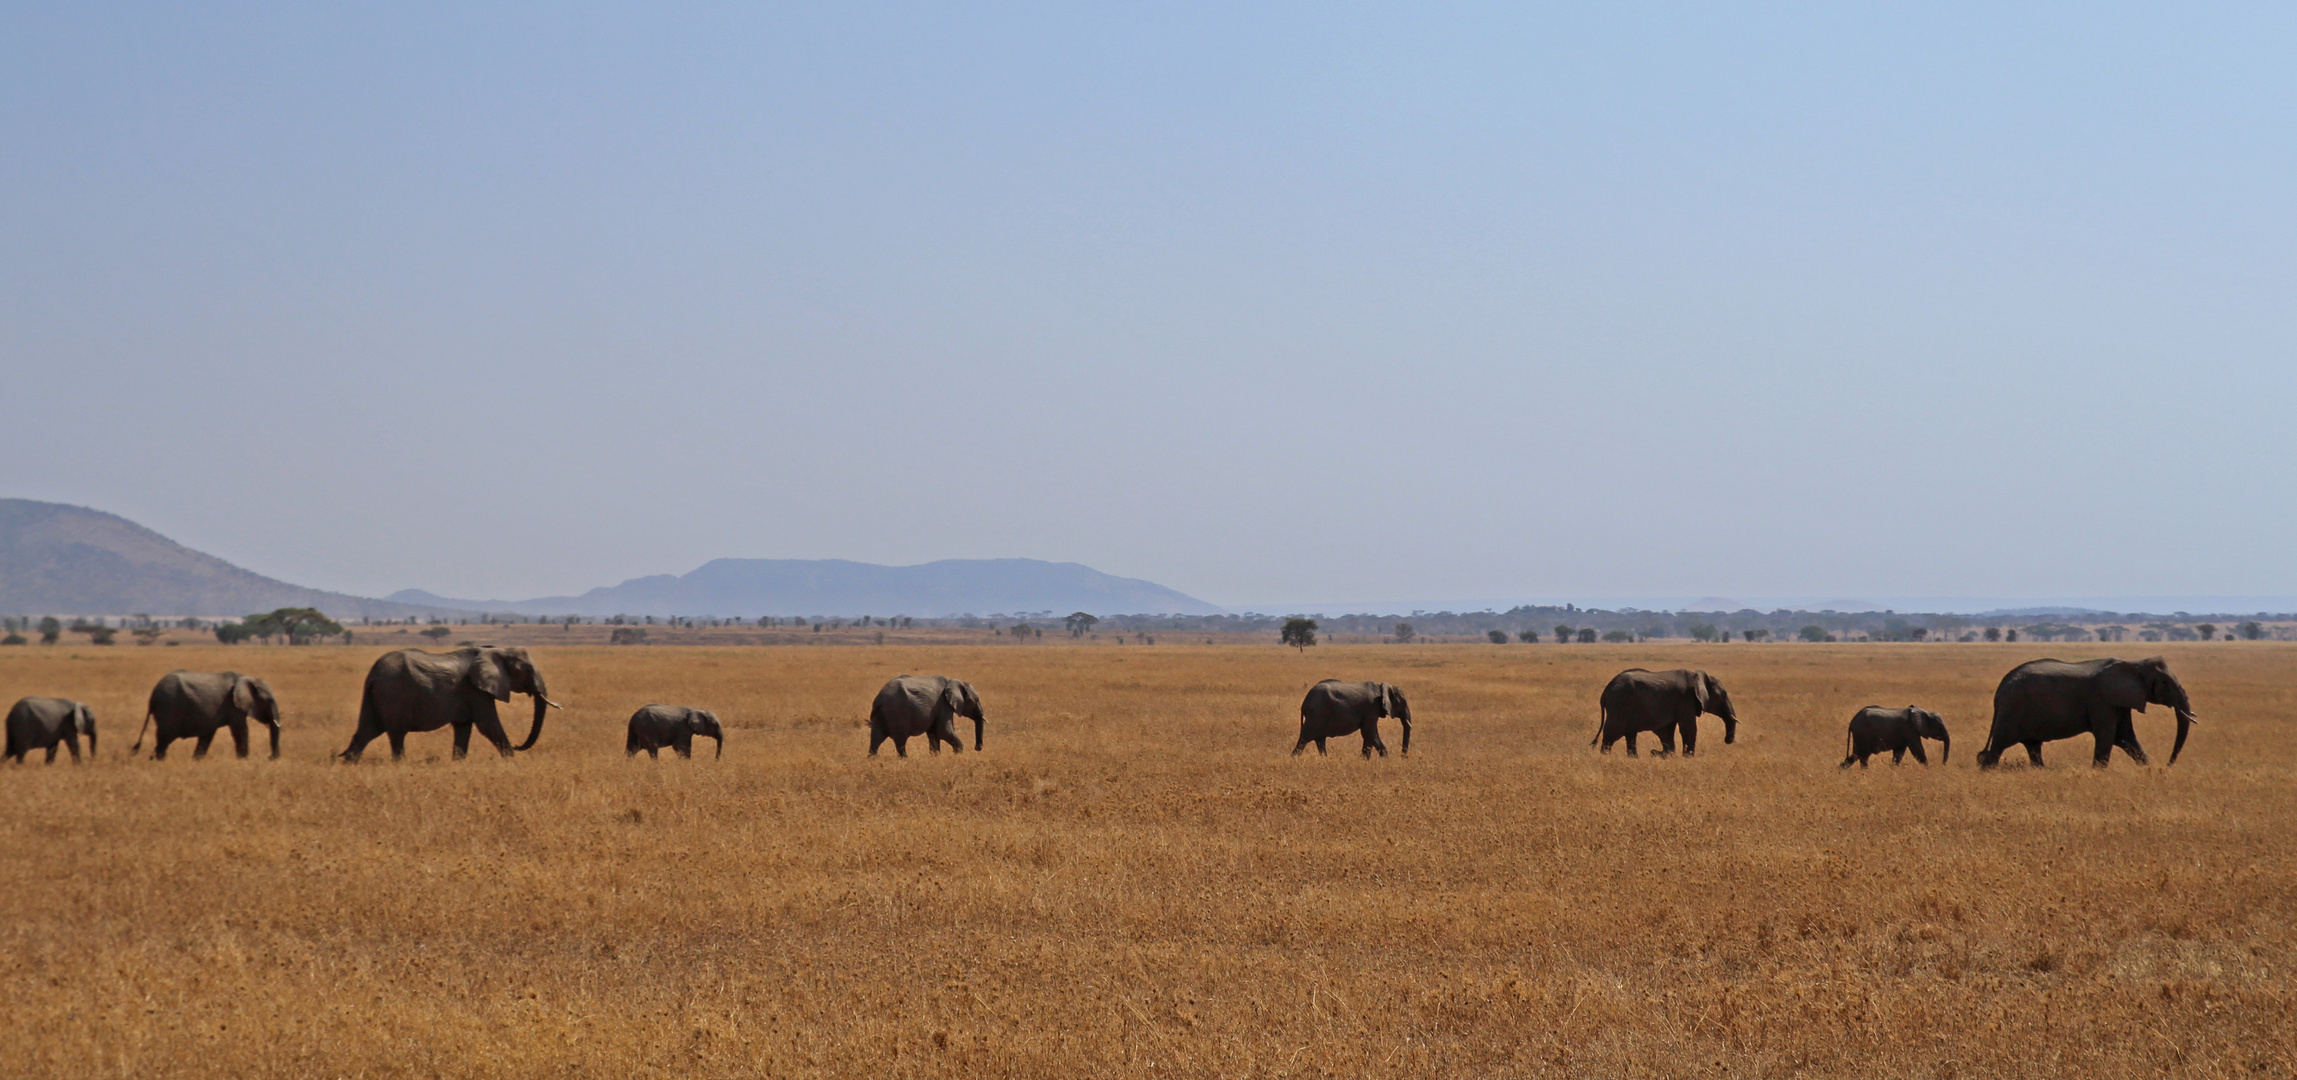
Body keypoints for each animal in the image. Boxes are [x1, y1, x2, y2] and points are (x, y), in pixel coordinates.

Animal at [134, 666, 280, 758]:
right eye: (270, 700)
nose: (270, 757)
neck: (247, 678)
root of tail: (153, 694)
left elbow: (207, 736)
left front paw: (196, 760)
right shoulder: (233, 706)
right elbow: (241, 731)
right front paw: (244, 760)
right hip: (168, 707)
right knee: (163, 740)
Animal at [335, 643, 555, 762]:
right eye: (528, 670)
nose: (518, 745)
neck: (497, 650)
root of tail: (373, 676)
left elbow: (463, 728)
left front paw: (458, 763)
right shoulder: (476, 691)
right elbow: (488, 725)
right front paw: (512, 761)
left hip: (375, 696)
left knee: (366, 732)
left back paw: (348, 764)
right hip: (393, 694)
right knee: (396, 735)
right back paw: (400, 765)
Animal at [1598, 666, 1736, 758]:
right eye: (1723, 695)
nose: (1727, 740)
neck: (1697, 677)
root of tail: (1605, 693)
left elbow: (1666, 731)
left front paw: (1664, 754)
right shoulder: (1685, 700)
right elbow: (1689, 728)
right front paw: (1688, 758)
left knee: (1630, 734)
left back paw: (1633, 758)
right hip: (1619, 706)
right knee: (1611, 733)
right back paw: (1605, 757)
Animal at [1966, 657, 2195, 767]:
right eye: (2165, 683)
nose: (2168, 764)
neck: (2133, 663)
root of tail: (1999, 691)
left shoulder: (2119, 701)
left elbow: (2125, 737)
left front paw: (2148, 769)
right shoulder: (2102, 701)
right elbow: (2108, 737)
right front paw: (2098, 773)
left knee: (2033, 747)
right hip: (2012, 710)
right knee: (1998, 746)